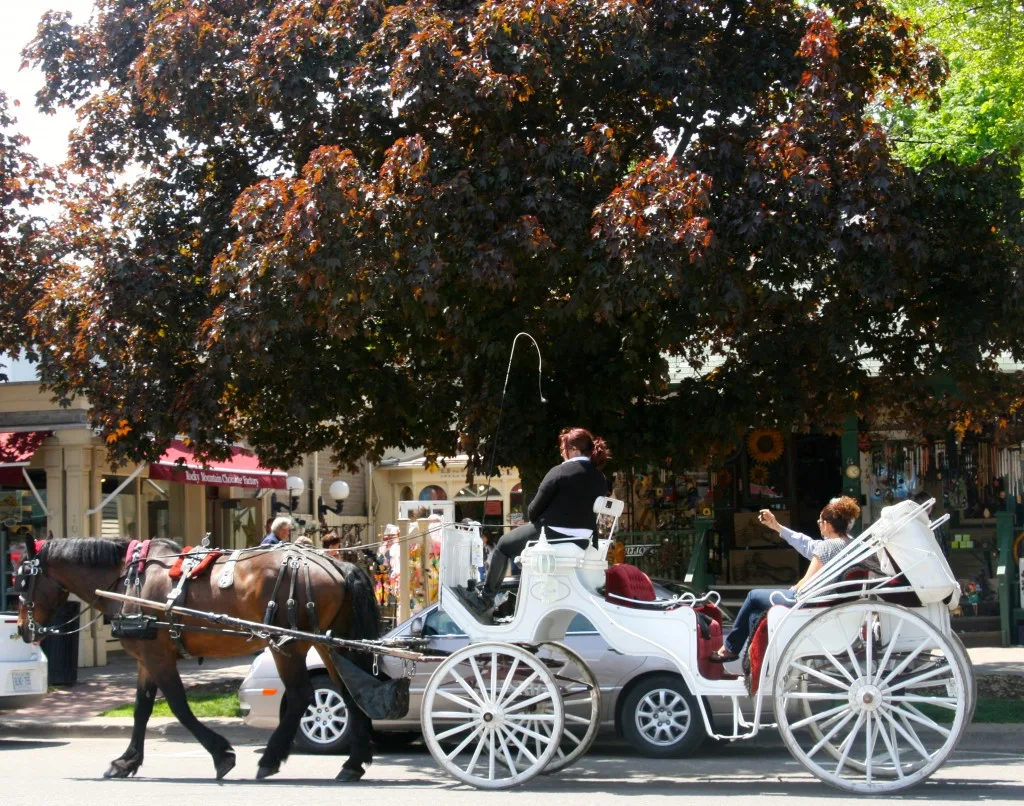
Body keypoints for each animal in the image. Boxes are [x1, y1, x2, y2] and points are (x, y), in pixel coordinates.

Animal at [14, 540, 382, 786]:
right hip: (330, 642)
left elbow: (178, 705)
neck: (128, 582)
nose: (21, 629)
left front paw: (222, 755)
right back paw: (353, 763)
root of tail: (335, 564)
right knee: (353, 690)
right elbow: (141, 709)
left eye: (22, 581)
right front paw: (126, 761)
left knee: (302, 695)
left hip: (288, 644)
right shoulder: (146, 658)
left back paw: (270, 759)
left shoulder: (158, 656)